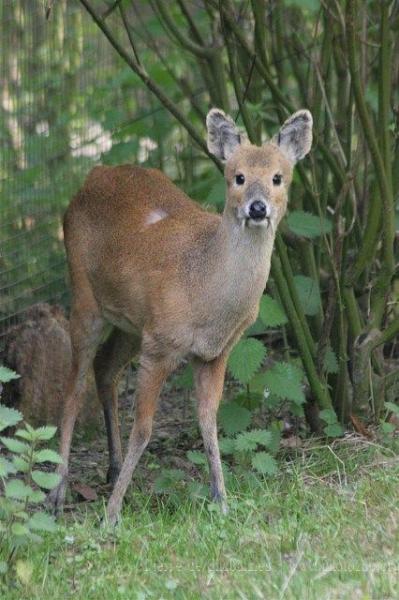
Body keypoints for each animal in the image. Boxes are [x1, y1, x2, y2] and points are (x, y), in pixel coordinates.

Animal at [47, 108, 312, 524]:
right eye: (237, 176)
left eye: (277, 177)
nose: (257, 207)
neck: (205, 293)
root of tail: (94, 174)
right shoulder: (159, 346)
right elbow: (144, 428)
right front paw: (111, 516)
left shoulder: (216, 352)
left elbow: (208, 419)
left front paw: (222, 502)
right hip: (84, 295)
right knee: (73, 390)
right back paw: (57, 494)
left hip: (131, 321)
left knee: (104, 367)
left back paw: (112, 468)